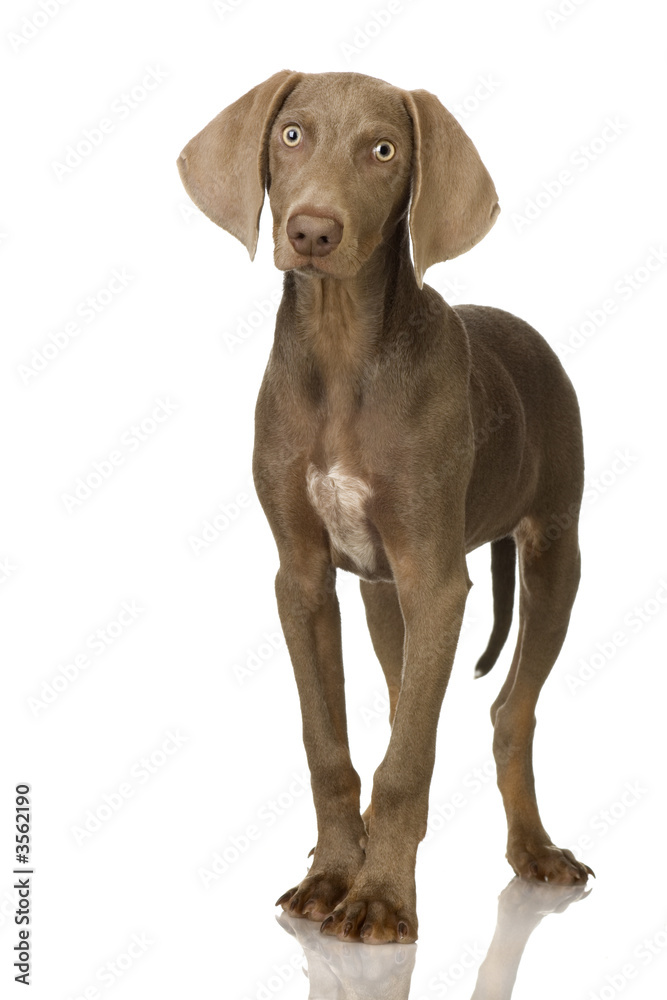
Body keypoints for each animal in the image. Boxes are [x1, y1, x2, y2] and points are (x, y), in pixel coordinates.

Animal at [177, 70, 596, 944]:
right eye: (291, 134)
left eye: (382, 150)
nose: (311, 230)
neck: (342, 350)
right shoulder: (302, 578)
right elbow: (329, 744)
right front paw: (335, 874)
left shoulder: (437, 579)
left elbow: (406, 762)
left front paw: (378, 899)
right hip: (382, 594)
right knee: (410, 701)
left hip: (553, 553)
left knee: (507, 713)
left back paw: (532, 850)